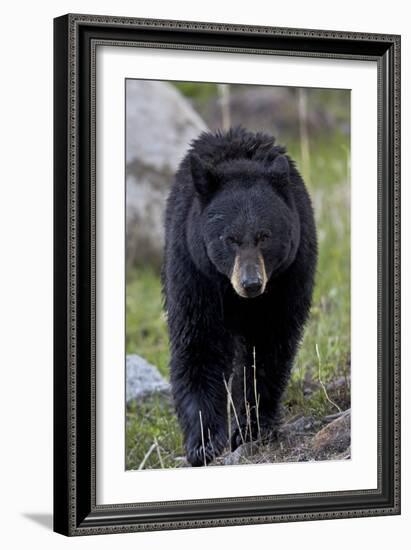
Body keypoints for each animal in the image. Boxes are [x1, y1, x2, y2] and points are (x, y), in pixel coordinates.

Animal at [163, 127, 318, 468]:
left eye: (264, 236)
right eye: (229, 239)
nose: (251, 283)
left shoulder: (287, 277)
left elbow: (268, 347)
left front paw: (250, 427)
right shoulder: (194, 271)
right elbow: (199, 342)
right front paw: (204, 442)